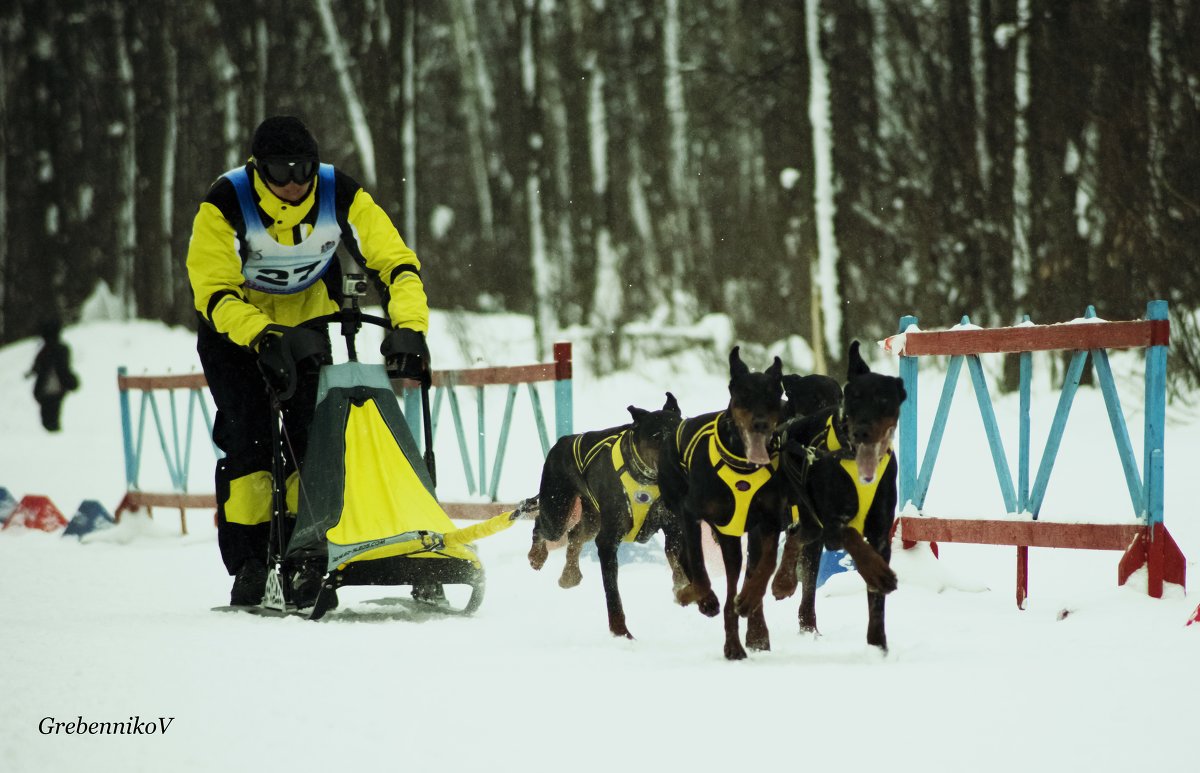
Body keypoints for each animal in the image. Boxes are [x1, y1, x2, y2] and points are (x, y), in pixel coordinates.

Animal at [528, 393, 686, 638]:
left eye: (679, 431)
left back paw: (569, 575)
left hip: (592, 519)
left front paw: (685, 593)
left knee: (576, 536)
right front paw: (621, 631)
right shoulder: (608, 541)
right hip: (557, 511)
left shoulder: (674, 531)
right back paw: (537, 556)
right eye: (657, 436)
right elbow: (613, 593)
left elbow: (678, 567)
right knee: (541, 524)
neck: (647, 480)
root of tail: (561, 442)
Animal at [657, 348, 787, 662]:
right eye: (744, 395)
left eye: (773, 395)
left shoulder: (770, 520)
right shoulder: (691, 513)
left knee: (739, 580)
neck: (743, 464)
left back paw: (746, 634)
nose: (760, 423)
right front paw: (703, 599)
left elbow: (766, 564)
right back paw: (693, 598)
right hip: (682, 510)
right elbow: (698, 565)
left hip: (736, 537)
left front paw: (749, 599)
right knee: (685, 559)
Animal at [772, 340, 902, 648]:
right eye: (813, 398)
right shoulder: (831, 523)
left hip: (809, 523)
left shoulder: (878, 530)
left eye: (837, 395)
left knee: (799, 540)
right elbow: (850, 536)